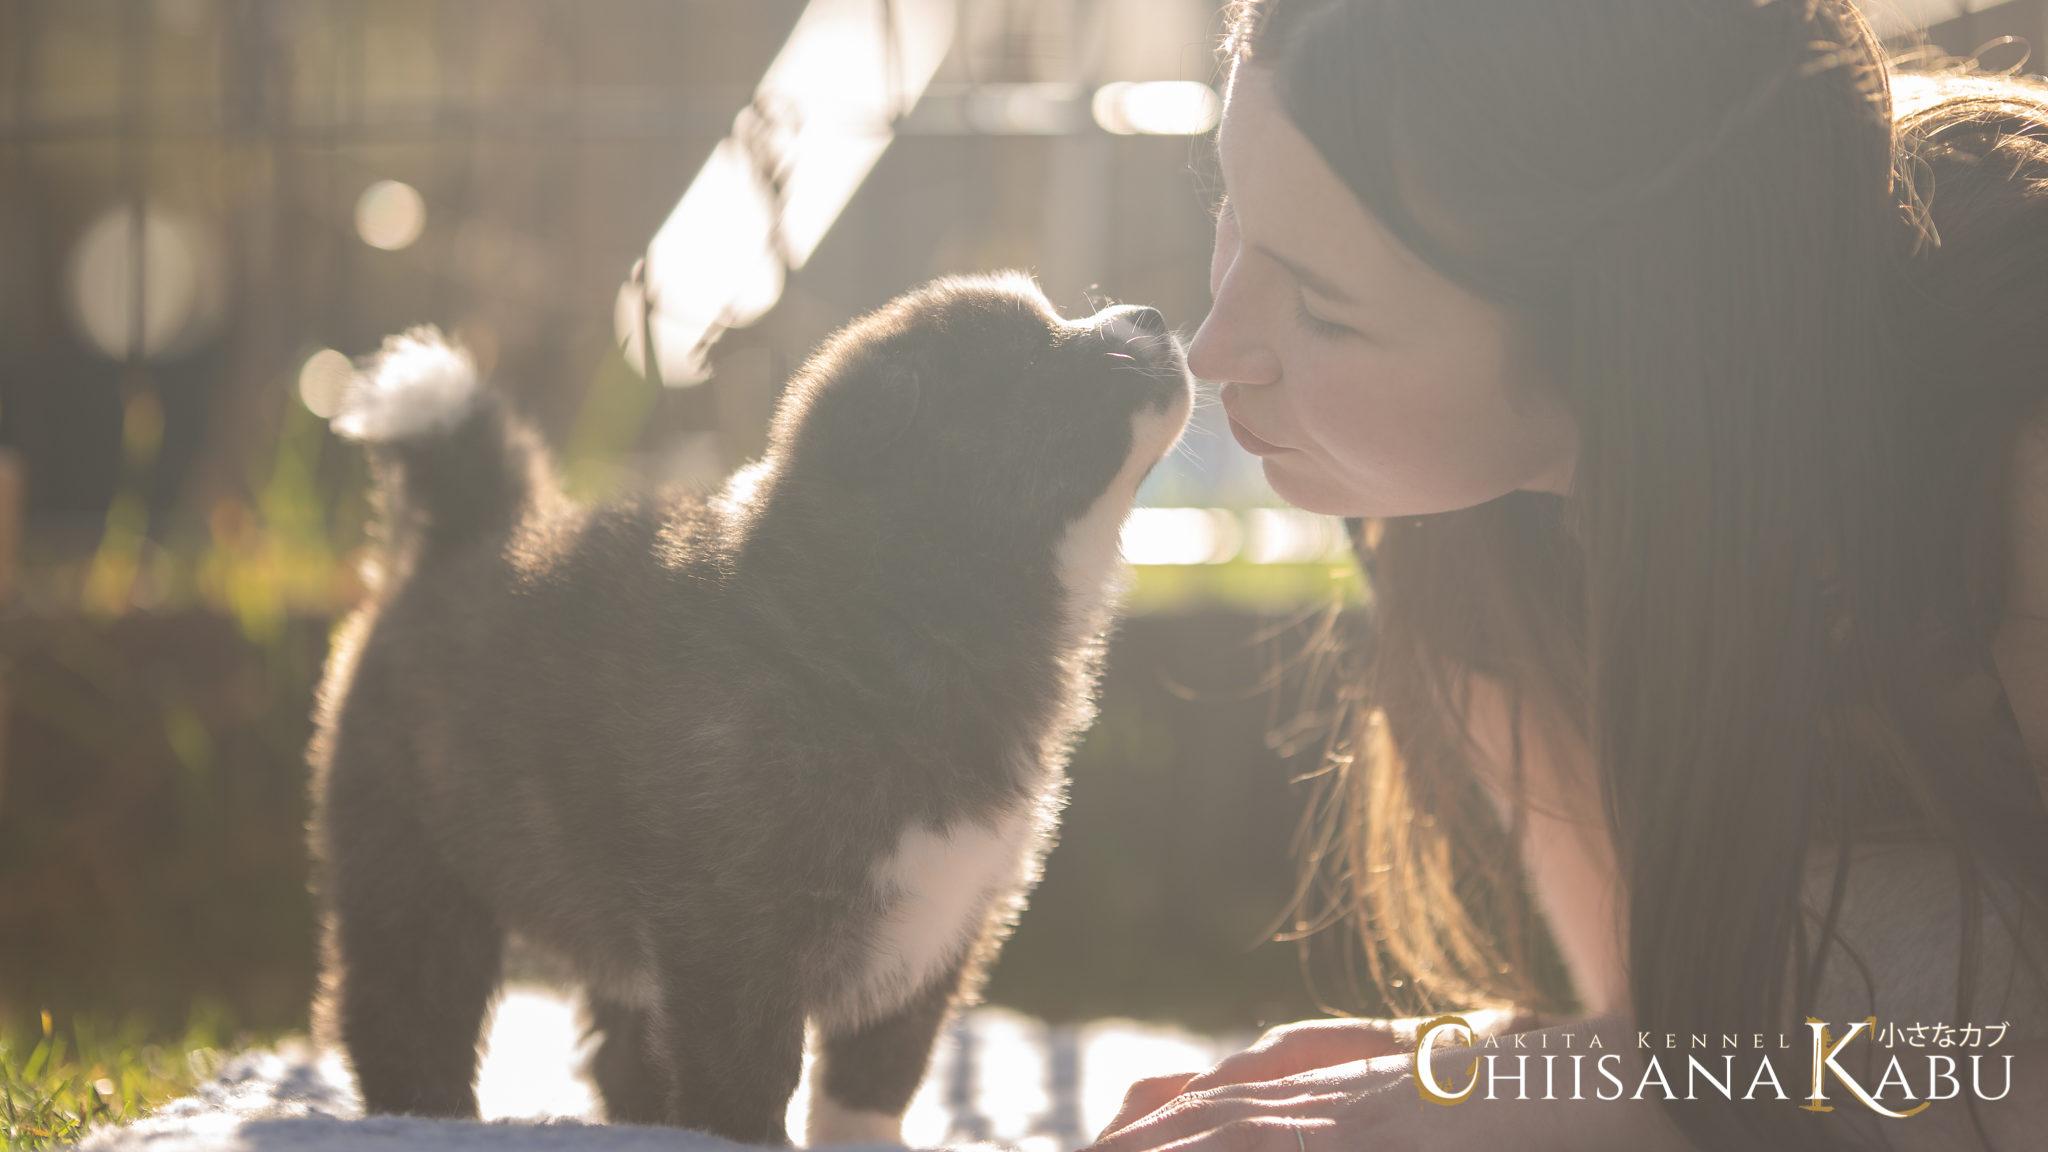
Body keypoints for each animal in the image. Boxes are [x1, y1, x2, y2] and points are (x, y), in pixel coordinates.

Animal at [309, 276, 1196, 1139]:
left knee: (621, 1046)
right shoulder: (735, 928)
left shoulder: (943, 916)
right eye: (1034, 358)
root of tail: (466, 534)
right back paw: (423, 1111)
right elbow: (748, 1073)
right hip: (413, 860)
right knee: (404, 1007)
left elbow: (876, 1075)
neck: (894, 614)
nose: (1155, 313)